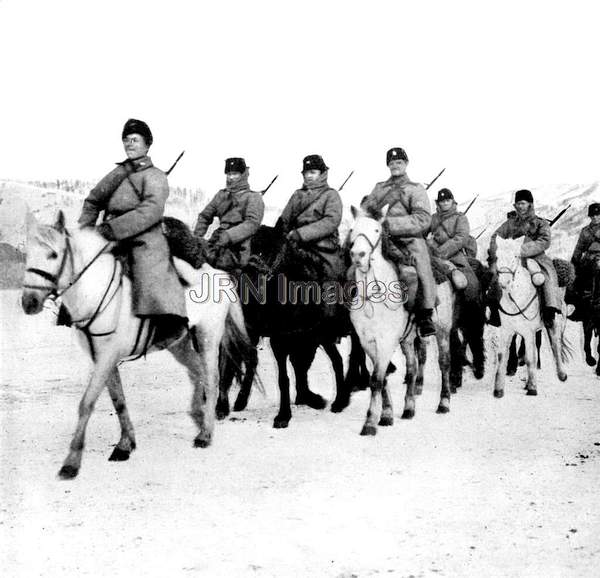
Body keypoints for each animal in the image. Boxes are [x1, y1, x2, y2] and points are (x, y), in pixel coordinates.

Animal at [213, 225, 368, 428]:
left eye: (273, 249)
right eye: (252, 247)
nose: (250, 275)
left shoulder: (298, 339)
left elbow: (296, 369)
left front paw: (290, 410)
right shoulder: (281, 341)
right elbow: (286, 375)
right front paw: (288, 411)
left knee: (351, 355)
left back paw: (348, 392)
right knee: (336, 360)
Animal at [346, 206, 454, 432]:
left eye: (377, 230)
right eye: (352, 229)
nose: (358, 255)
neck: (374, 297)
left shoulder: (385, 342)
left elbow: (377, 380)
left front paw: (370, 422)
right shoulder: (369, 343)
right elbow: (383, 379)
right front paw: (386, 414)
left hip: (442, 331)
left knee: (444, 363)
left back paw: (443, 403)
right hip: (407, 339)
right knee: (412, 369)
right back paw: (409, 407)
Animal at [490, 235, 568, 396]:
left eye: (515, 256)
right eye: (498, 256)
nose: (504, 282)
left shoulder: (528, 331)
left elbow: (531, 358)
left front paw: (532, 387)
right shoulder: (506, 330)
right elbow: (502, 356)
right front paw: (498, 389)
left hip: (554, 323)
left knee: (555, 344)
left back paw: (561, 374)